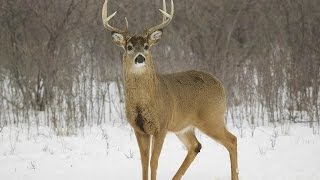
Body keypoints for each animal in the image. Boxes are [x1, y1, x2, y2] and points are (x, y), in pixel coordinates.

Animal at [101, 0, 239, 179]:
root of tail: (220, 84)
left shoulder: (162, 126)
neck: (143, 102)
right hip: (184, 126)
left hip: (212, 117)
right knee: (196, 145)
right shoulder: (139, 129)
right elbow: (143, 163)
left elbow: (154, 161)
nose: (140, 58)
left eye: (146, 46)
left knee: (232, 140)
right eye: (129, 46)